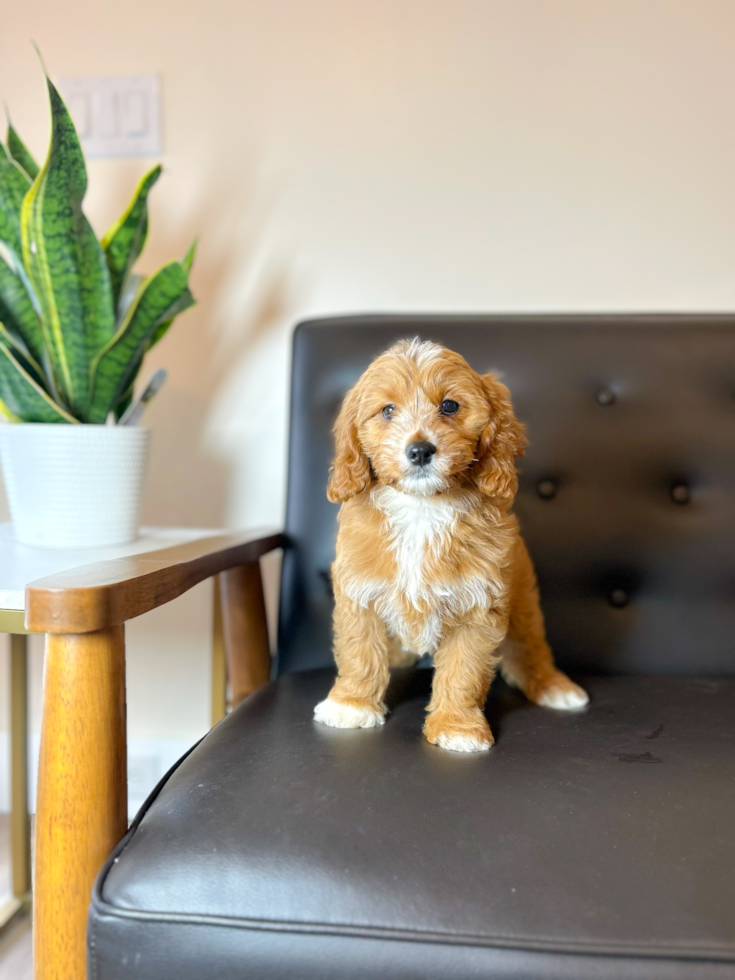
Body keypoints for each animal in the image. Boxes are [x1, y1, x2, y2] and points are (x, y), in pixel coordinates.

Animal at [314, 336, 588, 752]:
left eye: (449, 406)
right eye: (388, 410)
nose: (420, 450)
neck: (422, 507)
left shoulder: (479, 604)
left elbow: (464, 671)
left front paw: (457, 728)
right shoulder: (359, 594)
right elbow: (360, 652)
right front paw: (352, 706)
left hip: (522, 601)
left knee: (531, 648)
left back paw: (555, 688)